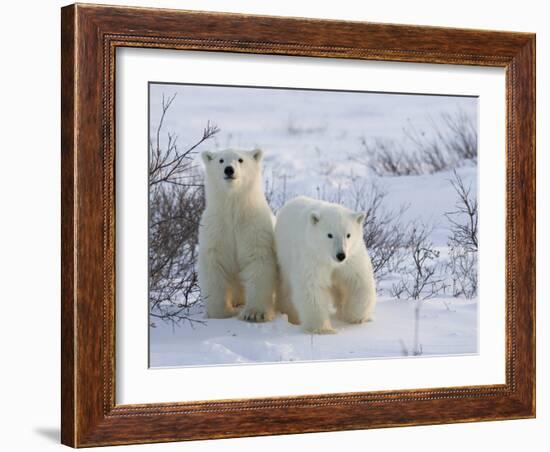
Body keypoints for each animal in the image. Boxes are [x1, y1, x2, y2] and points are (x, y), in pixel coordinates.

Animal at [198, 148, 278, 322]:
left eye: (240, 160)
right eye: (221, 160)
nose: (229, 169)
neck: (233, 207)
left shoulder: (253, 227)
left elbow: (258, 261)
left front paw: (254, 314)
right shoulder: (216, 228)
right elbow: (214, 264)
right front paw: (221, 312)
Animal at [276, 196, 380, 334]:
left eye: (348, 234)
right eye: (329, 235)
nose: (341, 255)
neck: (329, 259)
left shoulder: (352, 257)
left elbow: (358, 281)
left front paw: (355, 316)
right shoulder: (312, 257)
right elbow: (312, 287)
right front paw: (323, 329)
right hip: (285, 257)